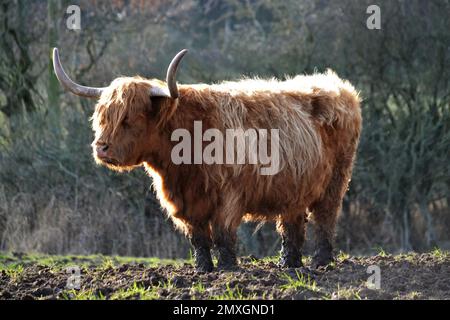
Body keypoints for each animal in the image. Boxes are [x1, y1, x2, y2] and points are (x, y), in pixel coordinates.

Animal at [52, 48, 362, 272]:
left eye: (128, 118)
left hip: (335, 181)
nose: (101, 148)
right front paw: (202, 269)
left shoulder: (228, 196)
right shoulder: (185, 202)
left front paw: (226, 269)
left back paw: (321, 262)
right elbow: (198, 237)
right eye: (102, 116)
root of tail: (339, 87)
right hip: (294, 186)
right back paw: (289, 264)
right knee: (292, 224)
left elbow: (223, 234)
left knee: (325, 218)